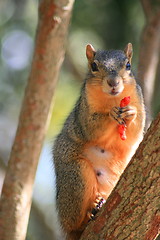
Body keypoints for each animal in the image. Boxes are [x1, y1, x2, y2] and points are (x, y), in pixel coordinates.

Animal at [53, 43, 146, 240]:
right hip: (76, 177)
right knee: (74, 223)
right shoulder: (83, 113)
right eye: (94, 66)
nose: (113, 82)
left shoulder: (139, 101)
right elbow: (91, 127)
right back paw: (89, 214)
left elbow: (135, 133)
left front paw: (131, 113)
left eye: (128, 65)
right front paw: (111, 114)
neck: (113, 99)